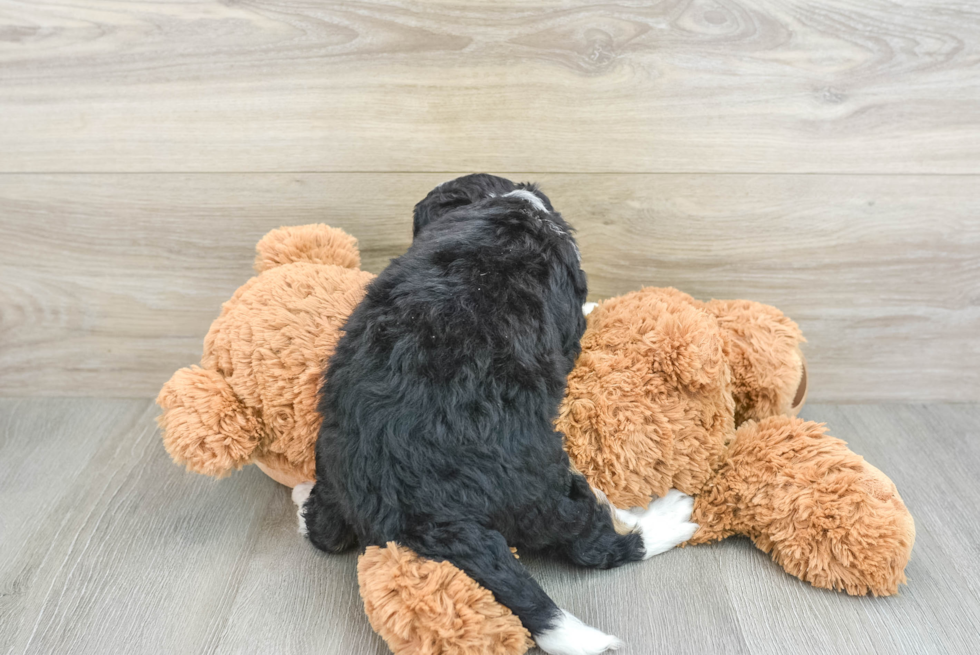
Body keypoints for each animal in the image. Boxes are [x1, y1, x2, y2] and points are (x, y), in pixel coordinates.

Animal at [296, 176, 696, 655]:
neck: (508, 210)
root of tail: (420, 511)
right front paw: (594, 307)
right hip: (542, 488)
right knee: (593, 542)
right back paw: (662, 521)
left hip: (332, 456)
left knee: (324, 529)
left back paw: (301, 498)